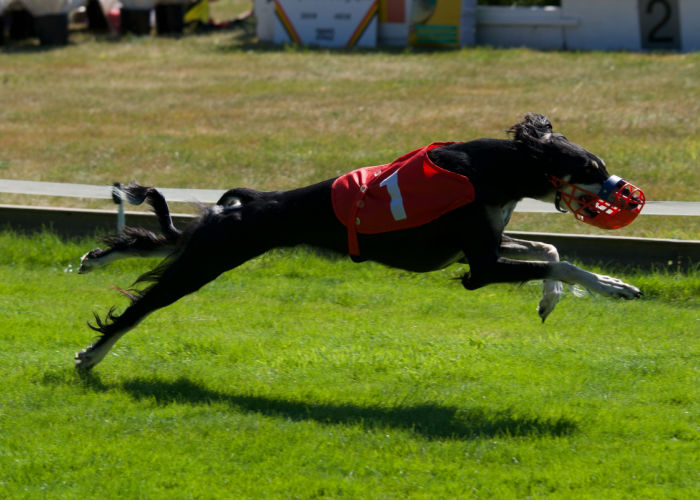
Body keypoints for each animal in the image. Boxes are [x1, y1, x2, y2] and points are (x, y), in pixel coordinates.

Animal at [75, 114, 644, 372]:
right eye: (593, 169)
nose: (627, 194)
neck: (493, 169)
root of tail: (248, 201)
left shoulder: (484, 241)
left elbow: (551, 252)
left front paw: (552, 301)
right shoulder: (478, 267)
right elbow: (560, 262)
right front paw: (614, 285)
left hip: (213, 243)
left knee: (165, 241)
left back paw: (96, 258)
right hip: (211, 259)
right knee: (141, 306)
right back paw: (91, 355)